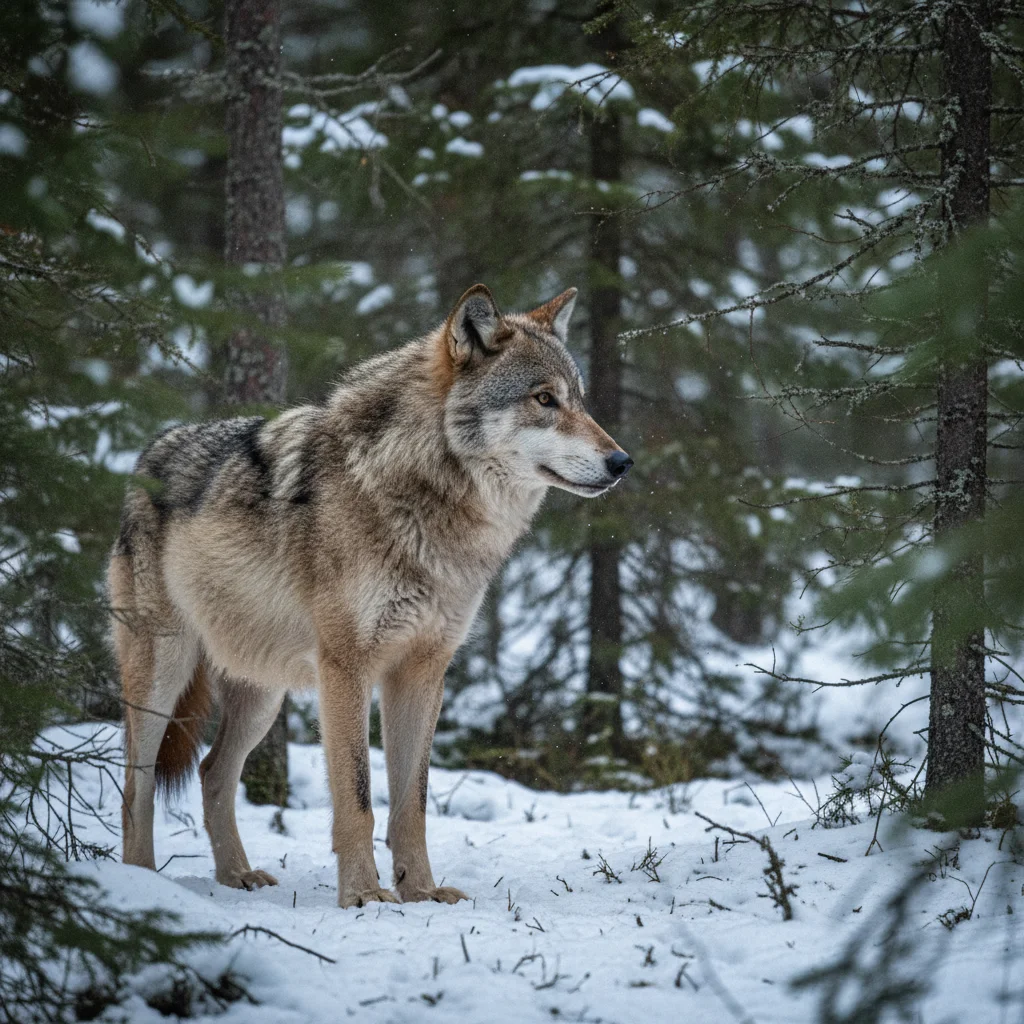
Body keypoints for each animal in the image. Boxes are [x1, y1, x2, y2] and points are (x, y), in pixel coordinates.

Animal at [109, 284, 632, 908]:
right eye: (544, 399)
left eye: (579, 400)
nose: (622, 462)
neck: (425, 501)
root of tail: (145, 458)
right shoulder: (347, 668)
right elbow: (357, 798)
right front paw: (362, 895)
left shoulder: (423, 671)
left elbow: (412, 804)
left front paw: (422, 892)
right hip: (163, 674)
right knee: (135, 786)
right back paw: (142, 885)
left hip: (263, 695)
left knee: (213, 772)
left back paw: (238, 875)